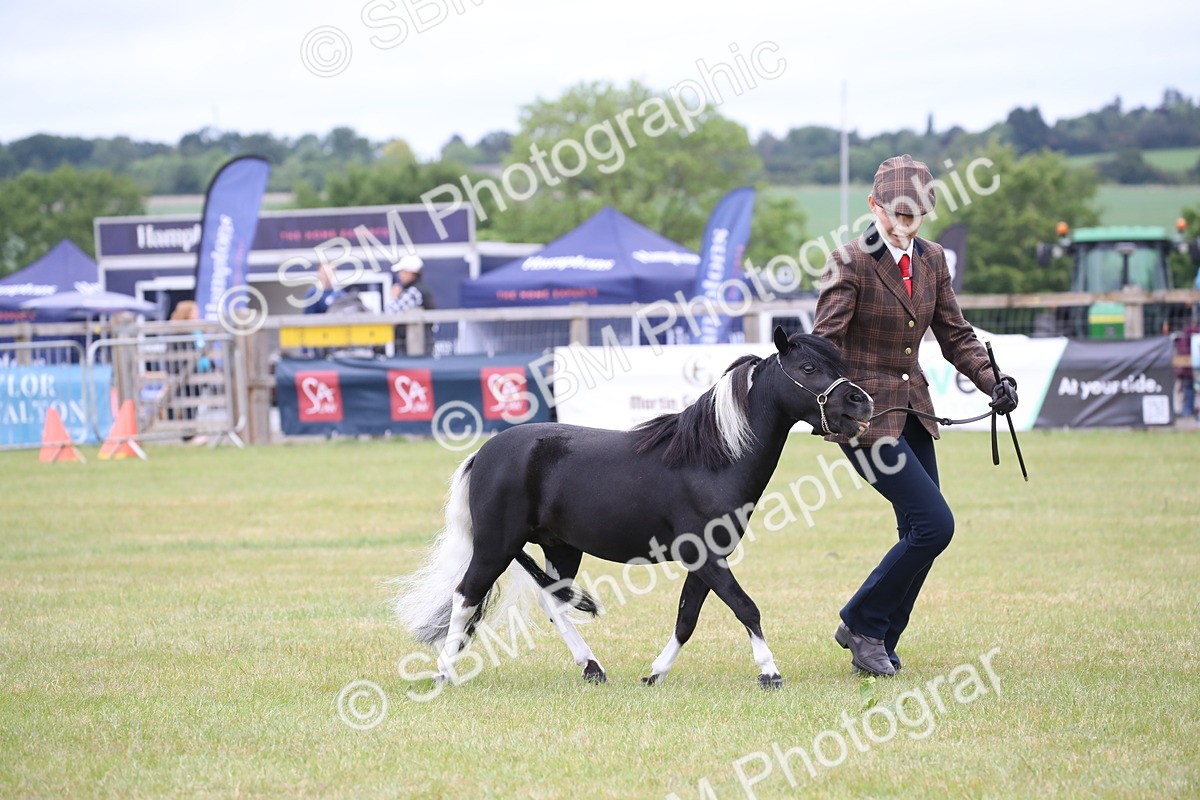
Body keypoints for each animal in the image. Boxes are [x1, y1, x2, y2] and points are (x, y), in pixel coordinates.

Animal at [392, 327, 873, 688]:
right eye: (808, 368)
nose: (861, 403)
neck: (712, 459)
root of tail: (485, 452)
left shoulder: (705, 559)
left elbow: (687, 618)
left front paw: (655, 674)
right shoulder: (707, 556)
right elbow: (745, 607)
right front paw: (769, 672)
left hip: (560, 548)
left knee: (553, 603)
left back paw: (592, 668)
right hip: (496, 546)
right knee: (465, 597)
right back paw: (445, 674)